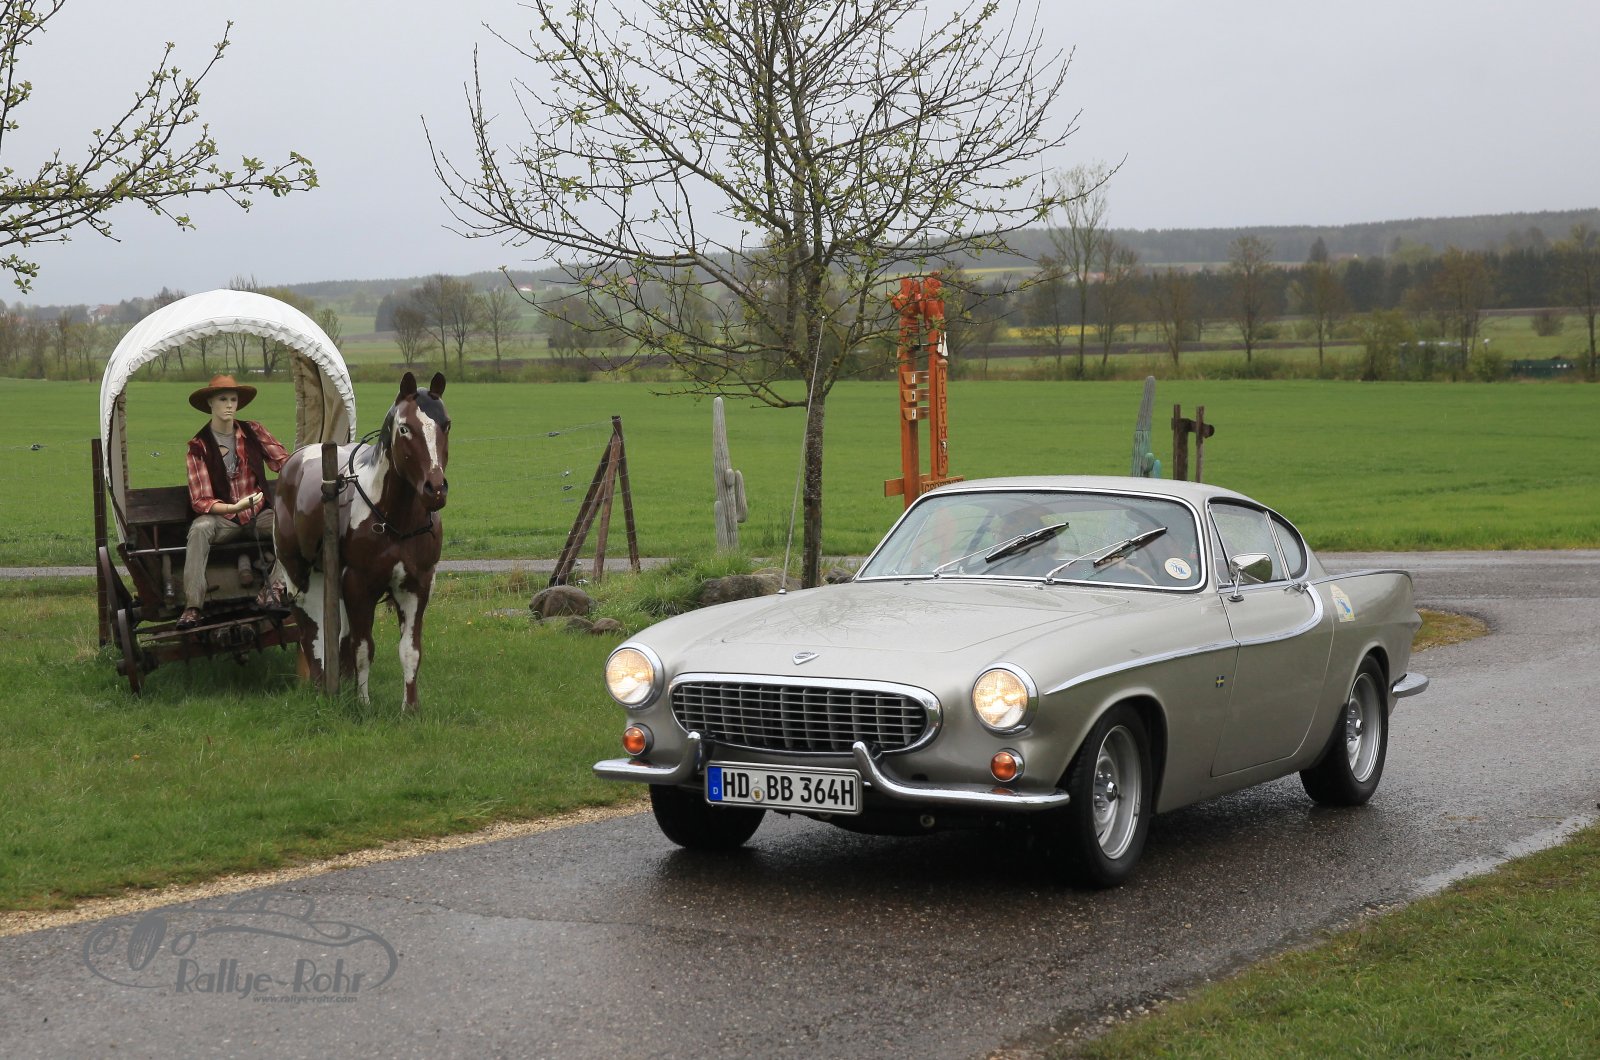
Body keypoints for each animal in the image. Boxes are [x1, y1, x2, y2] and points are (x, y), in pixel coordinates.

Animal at [273, 371, 450, 711]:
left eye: (446, 424)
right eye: (405, 428)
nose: (435, 488)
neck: (395, 519)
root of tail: (295, 460)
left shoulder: (417, 585)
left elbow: (410, 651)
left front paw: (410, 708)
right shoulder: (358, 583)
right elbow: (363, 647)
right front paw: (363, 703)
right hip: (296, 572)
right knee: (309, 625)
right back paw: (320, 684)